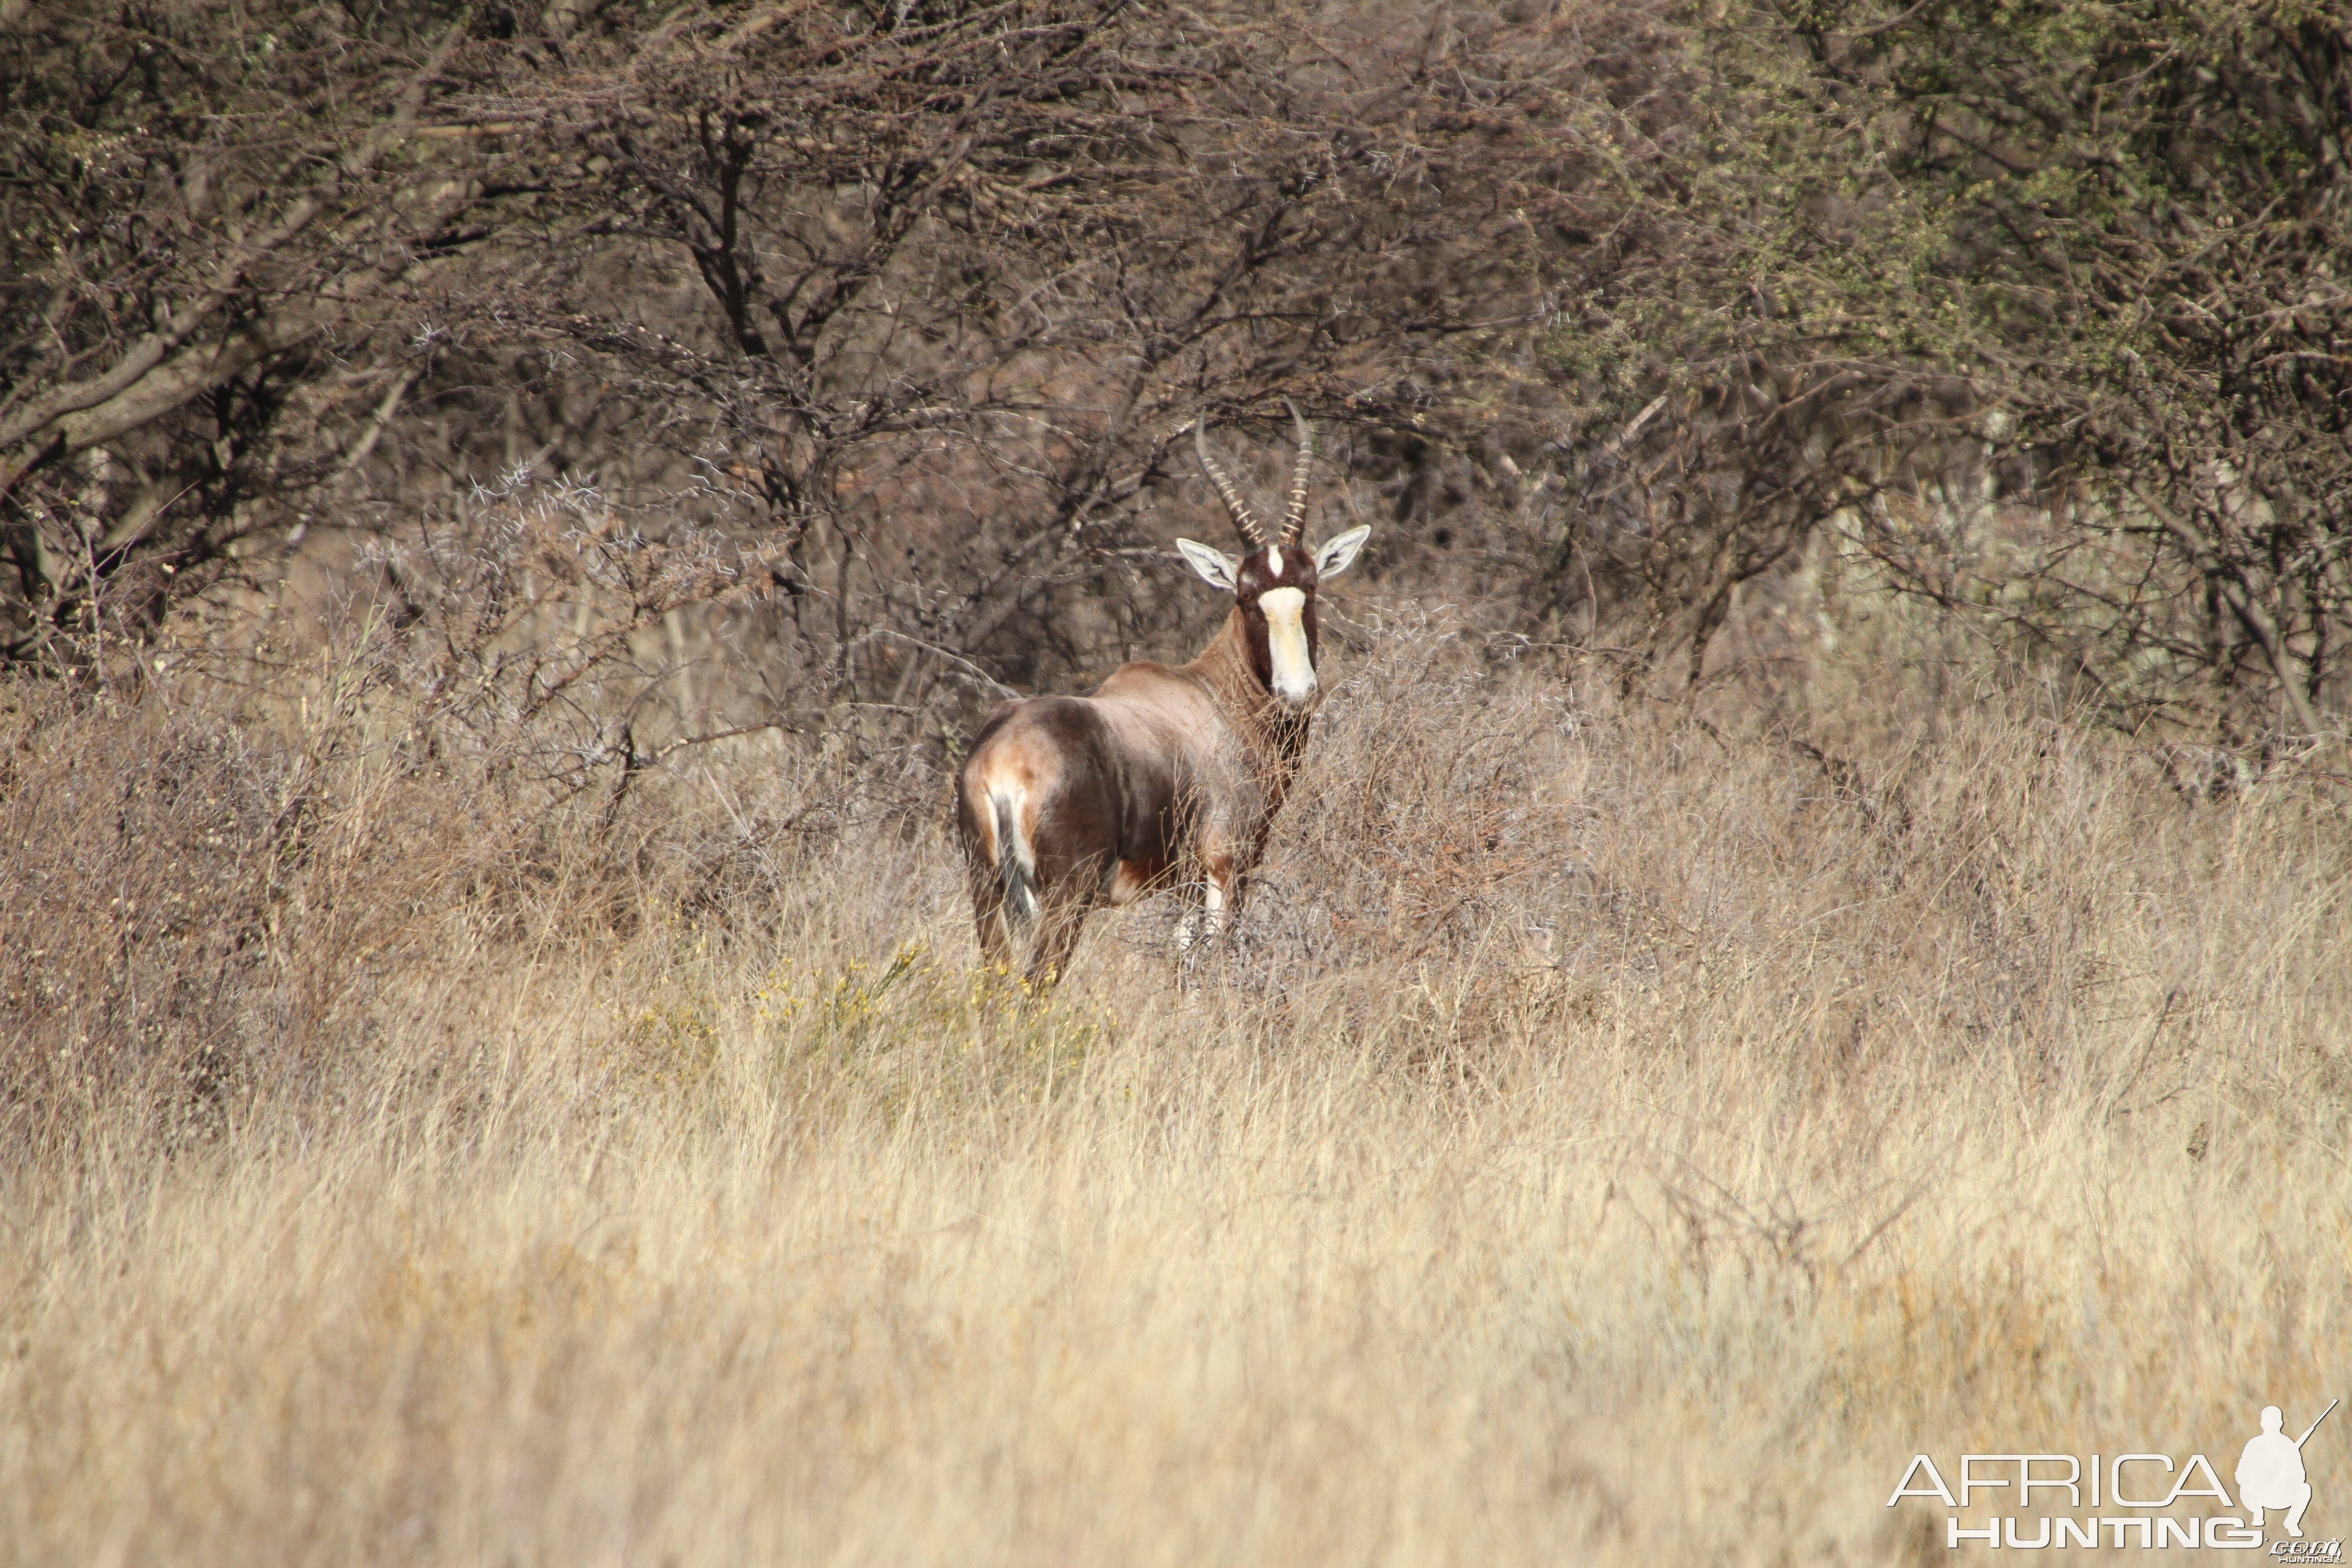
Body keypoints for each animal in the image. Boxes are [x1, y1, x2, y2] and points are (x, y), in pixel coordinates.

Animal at [950, 411, 1373, 987]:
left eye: (1309, 588)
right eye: (1246, 596)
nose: (1297, 692)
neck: (1212, 697)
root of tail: (1003, 760)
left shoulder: (1187, 881)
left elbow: (1184, 965)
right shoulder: (1227, 864)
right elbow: (1216, 961)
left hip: (987, 890)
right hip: (1064, 898)